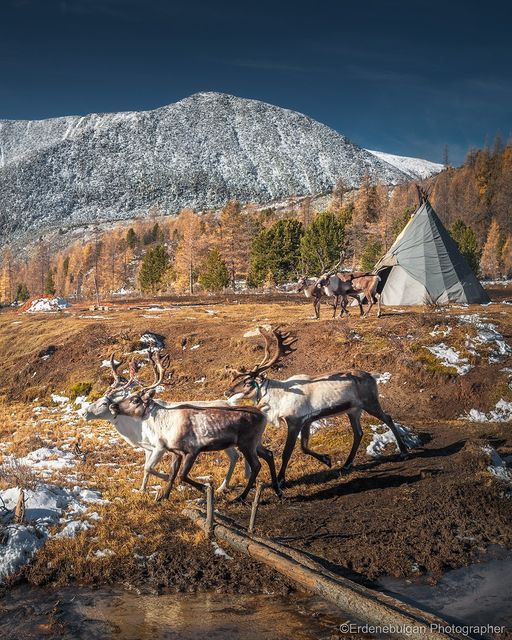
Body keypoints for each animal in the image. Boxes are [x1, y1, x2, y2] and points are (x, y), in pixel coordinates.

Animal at [84, 354, 248, 494]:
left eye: (104, 403)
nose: (84, 413)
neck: (134, 429)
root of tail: (230, 402)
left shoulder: (158, 447)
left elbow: (148, 468)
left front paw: (167, 480)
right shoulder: (147, 448)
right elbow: (146, 468)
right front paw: (142, 489)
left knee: (237, 455)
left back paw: (225, 486)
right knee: (235, 455)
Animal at [106, 350, 282, 502]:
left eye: (135, 399)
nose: (113, 406)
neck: (164, 424)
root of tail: (261, 412)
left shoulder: (192, 450)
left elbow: (182, 475)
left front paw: (205, 487)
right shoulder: (175, 452)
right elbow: (173, 474)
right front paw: (164, 497)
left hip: (246, 443)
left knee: (257, 465)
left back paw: (240, 497)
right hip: (255, 442)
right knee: (269, 454)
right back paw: (277, 490)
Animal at [225, 326, 408, 487]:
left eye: (247, 382)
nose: (227, 391)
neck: (279, 397)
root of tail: (371, 376)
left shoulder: (295, 421)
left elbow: (287, 452)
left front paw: (281, 479)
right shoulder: (307, 421)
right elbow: (304, 447)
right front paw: (327, 460)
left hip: (370, 402)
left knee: (387, 418)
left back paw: (404, 451)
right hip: (353, 410)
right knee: (359, 433)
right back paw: (346, 464)